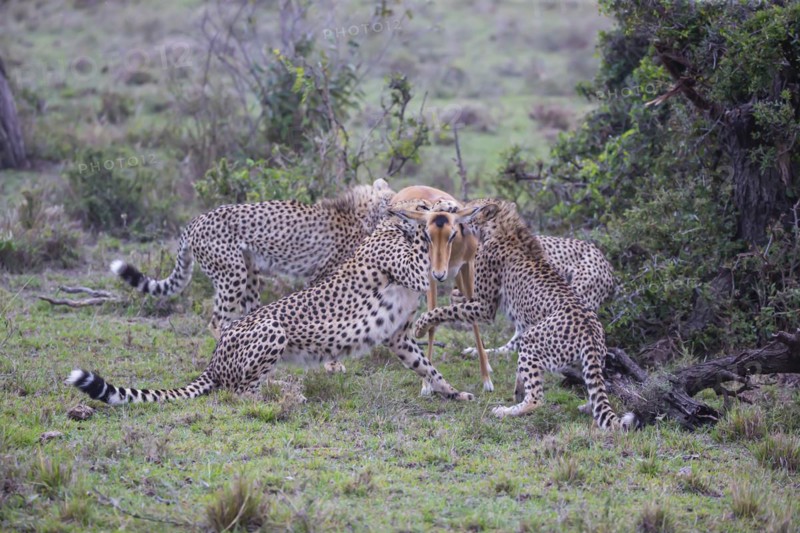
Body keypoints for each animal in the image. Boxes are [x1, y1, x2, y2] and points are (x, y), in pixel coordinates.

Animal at [67, 201, 491, 407]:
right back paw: (287, 395)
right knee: (235, 391)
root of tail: (213, 360)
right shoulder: (411, 272)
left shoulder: (398, 338)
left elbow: (429, 368)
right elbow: (428, 266)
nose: (454, 215)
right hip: (268, 325)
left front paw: (454, 393)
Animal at [110, 179, 395, 339]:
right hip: (232, 273)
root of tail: (196, 220)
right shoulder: (323, 276)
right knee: (217, 320)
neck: (364, 213)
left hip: (249, 272)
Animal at [413, 199, 638, 430]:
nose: (456, 210)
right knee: (595, 389)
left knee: (537, 398)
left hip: (535, 337)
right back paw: (580, 405)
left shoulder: (485, 307)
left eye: (471, 207)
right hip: (577, 354)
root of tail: (590, 331)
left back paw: (505, 410)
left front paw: (421, 326)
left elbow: (446, 310)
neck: (504, 227)